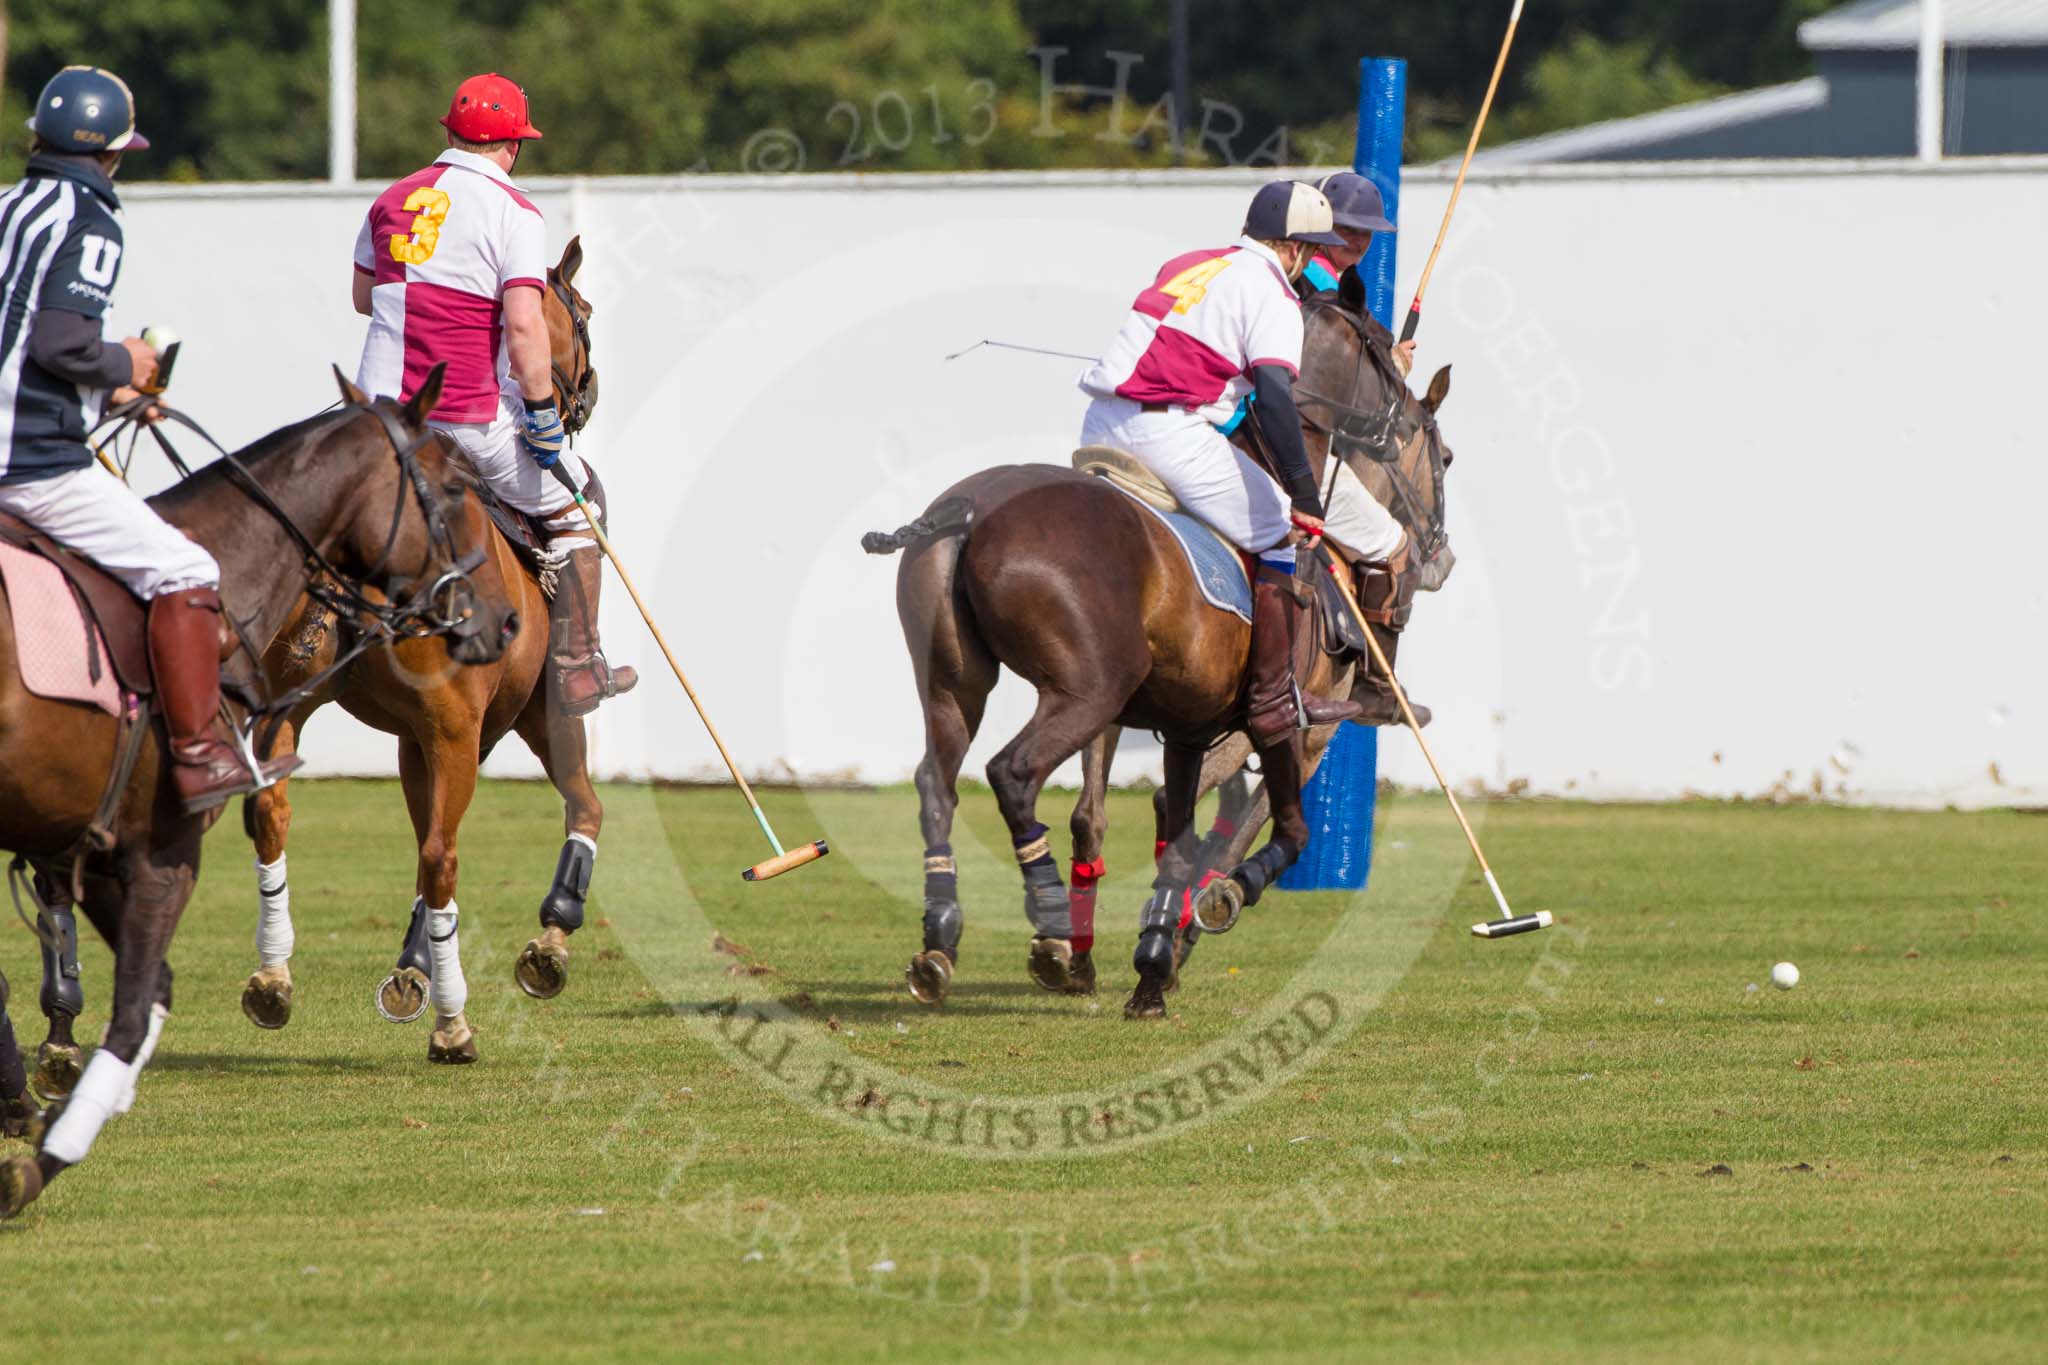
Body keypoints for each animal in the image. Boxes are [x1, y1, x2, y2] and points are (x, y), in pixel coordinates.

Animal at [0, 374, 512, 1219]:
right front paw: (41, 1154)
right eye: (451, 487)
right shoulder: (160, 850)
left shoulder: (95, 850)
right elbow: (136, 1003)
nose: (502, 619)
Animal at [868, 300, 1458, 1023]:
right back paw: (1052, 926)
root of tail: (966, 511)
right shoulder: (1299, 727)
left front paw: (1155, 960)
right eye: (1443, 454)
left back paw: (946, 942)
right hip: (1088, 692)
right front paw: (1211, 908)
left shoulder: (1190, 726)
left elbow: (1178, 829)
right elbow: (1269, 828)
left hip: (958, 685)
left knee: (943, 785)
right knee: (1013, 773)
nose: (1439, 557)